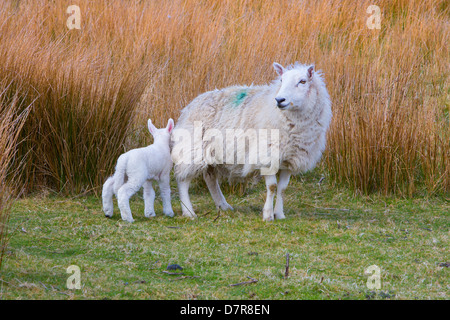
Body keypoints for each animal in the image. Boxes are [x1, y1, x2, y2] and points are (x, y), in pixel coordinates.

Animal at [171, 61, 332, 221]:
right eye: (281, 80)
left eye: (303, 81)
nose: (280, 100)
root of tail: (190, 105)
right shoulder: (267, 155)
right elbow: (272, 187)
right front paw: (268, 215)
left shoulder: (290, 159)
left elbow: (282, 188)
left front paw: (279, 214)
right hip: (192, 147)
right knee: (183, 179)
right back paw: (189, 211)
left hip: (211, 152)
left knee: (210, 178)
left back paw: (223, 205)